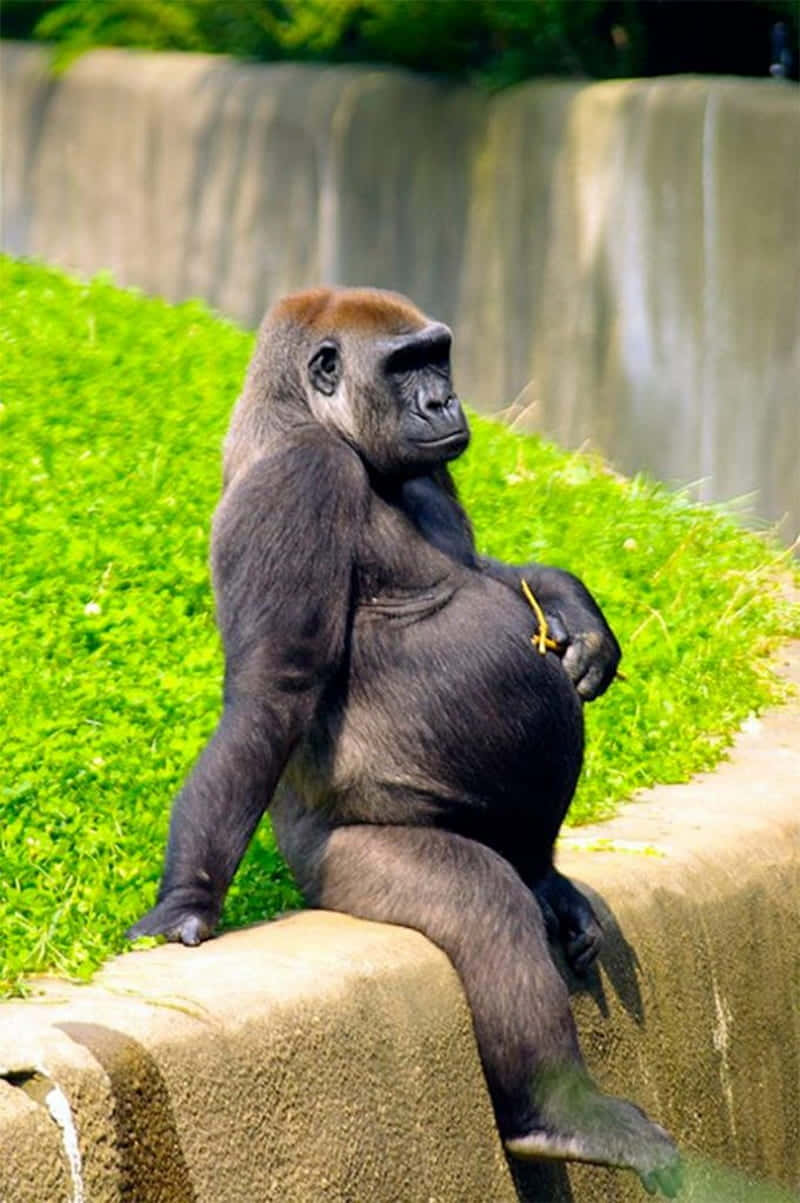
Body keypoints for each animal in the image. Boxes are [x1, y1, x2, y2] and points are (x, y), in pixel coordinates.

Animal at [129, 286, 681, 1197]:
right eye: (402, 366)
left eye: (437, 356)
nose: (444, 402)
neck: (298, 412)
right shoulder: (300, 479)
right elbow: (273, 688)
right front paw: (187, 899)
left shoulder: (433, 469)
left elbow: (489, 570)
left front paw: (574, 606)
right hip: (345, 863)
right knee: (487, 907)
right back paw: (560, 1114)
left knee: (522, 873)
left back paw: (547, 880)